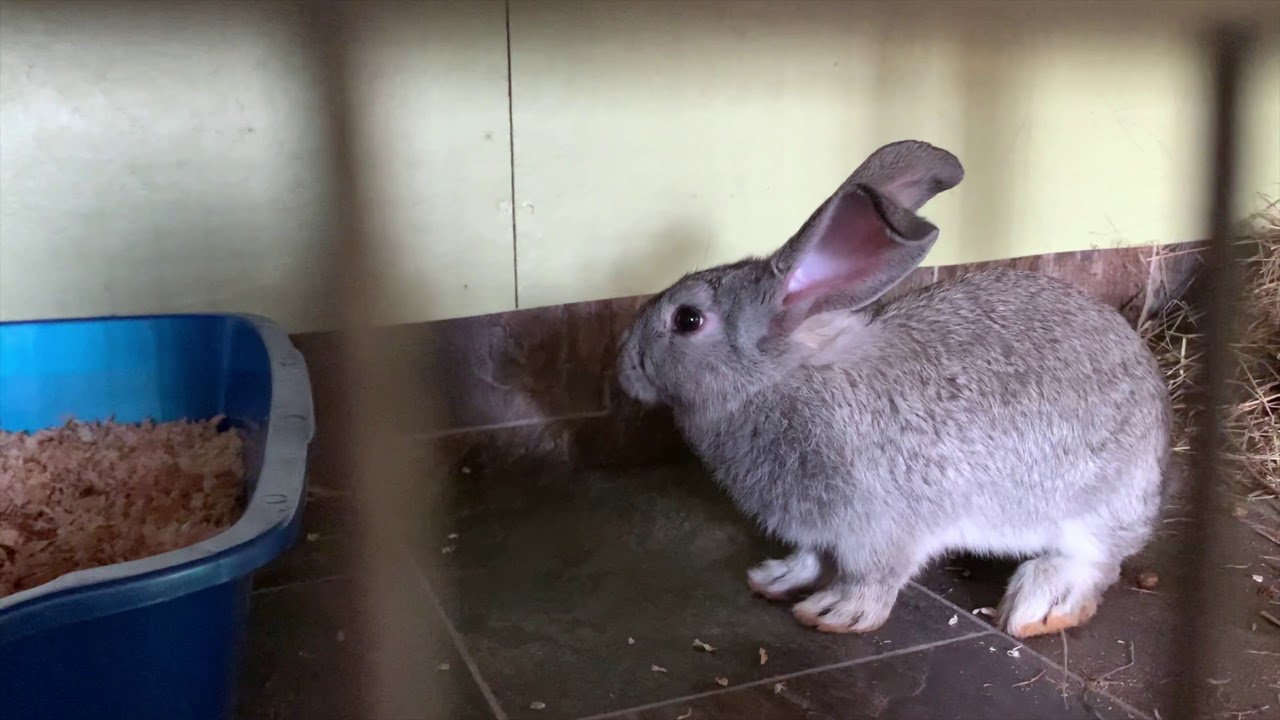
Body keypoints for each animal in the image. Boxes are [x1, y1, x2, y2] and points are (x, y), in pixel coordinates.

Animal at [615, 140, 1170, 638]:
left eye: (687, 319)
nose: (623, 366)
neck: (777, 379)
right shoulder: (822, 529)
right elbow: (812, 557)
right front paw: (775, 579)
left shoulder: (879, 527)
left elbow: (873, 576)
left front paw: (834, 613)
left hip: (1087, 511)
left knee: (1094, 563)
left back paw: (1038, 608)